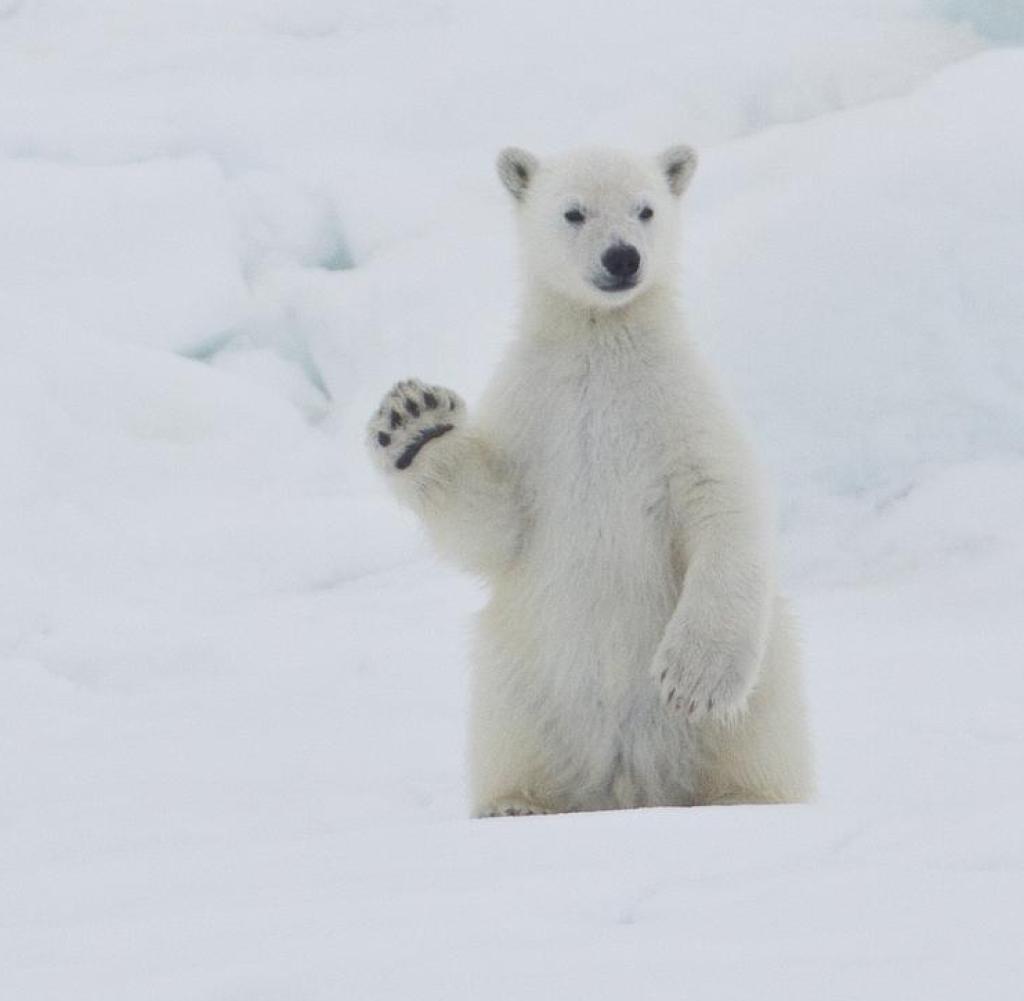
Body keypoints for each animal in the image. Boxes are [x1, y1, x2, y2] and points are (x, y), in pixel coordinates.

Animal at [364, 146, 811, 818]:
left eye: (645, 208)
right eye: (574, 212)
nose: (622, 257)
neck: (600, 338)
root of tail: (628, 785)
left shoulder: (680, 403)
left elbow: (724, 503)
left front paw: (691, 679)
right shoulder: (533, 409)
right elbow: (496, 526)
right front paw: (417, 422)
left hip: (769, 683)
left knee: (760, 726)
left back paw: (741, 796)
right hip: (521, 675)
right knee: (509, 720)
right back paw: (516, 804)